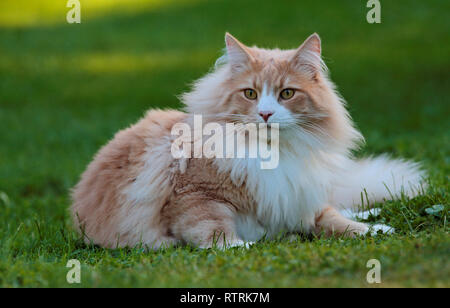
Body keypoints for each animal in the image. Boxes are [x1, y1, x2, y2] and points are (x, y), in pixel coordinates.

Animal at [71, 33, 426, 250]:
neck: (273, 155)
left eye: (287, 93)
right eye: (251, 94)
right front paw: (241, 245)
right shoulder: (195, 197)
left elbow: (333, 219)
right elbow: (214, 231)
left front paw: (374, 231)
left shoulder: (296, 197)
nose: (266, 113)